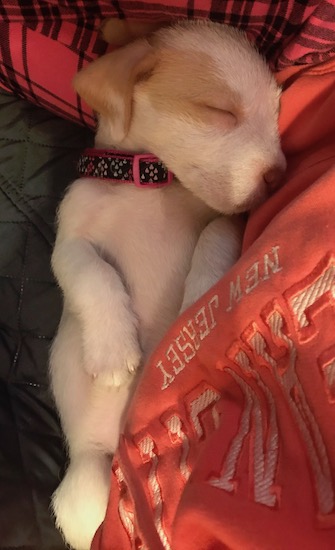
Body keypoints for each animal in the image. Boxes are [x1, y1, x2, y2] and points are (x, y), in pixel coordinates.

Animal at [49, 18, 286, 550]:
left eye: (278, 113)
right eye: (219, 111)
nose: (281, 176)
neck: (151, 181)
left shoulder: (224, 221)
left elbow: (216, 234)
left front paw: (200, 300)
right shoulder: (69, 242)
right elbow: (91, 271)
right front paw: (113, 351)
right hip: (85, 487)